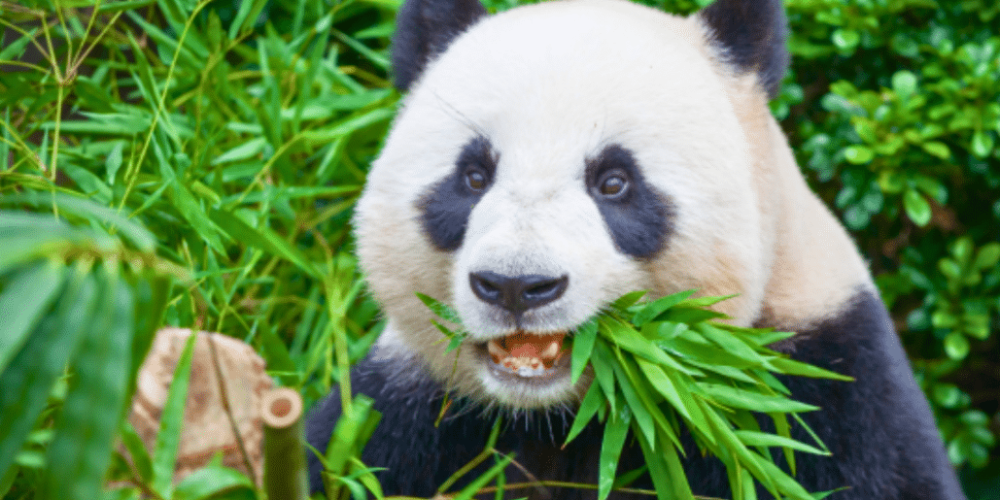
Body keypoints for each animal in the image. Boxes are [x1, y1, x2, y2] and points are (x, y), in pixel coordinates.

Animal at [306, 0, 966, 498]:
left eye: (614, 182)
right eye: (472, 176)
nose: (516, 285)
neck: (573, 413)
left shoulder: (821, 386)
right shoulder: (409, 413)